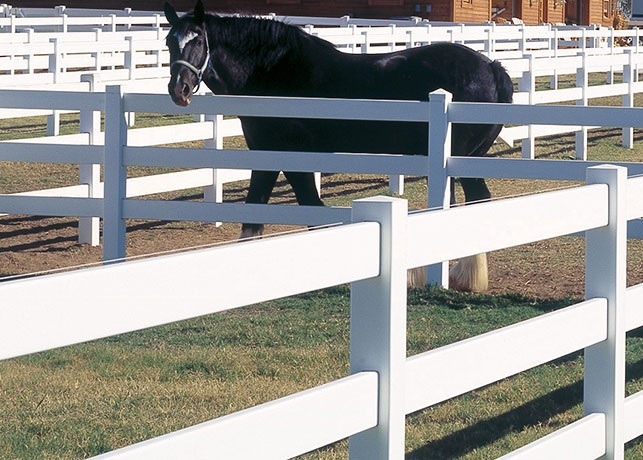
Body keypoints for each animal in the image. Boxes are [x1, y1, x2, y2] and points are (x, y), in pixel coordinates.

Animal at [165, 0, 512, 292]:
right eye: (170, 41)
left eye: (198, 40)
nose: (179, 90)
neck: (273, 72)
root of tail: (490, 67)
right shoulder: (268, 154)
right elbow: (260, 207)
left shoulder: (291, 156)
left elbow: (309, 206)